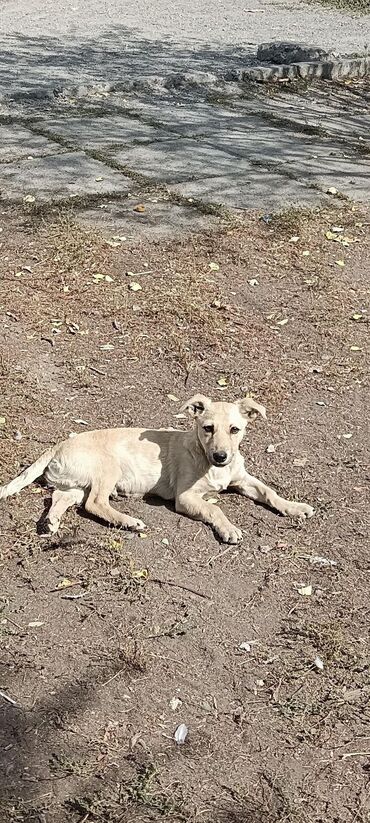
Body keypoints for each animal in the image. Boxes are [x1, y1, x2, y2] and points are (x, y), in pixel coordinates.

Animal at [0, 396, 314, 544]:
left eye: (235, 430)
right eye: (207, 428)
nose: (221, 456)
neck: (207, 462)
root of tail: (59, 444)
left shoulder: (243, 479)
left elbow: (269, 492)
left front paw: (295, 507)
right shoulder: (185, 497)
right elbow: (214, 508)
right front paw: (228, 529)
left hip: (77, 484)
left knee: (59, 498)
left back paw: (51, 522)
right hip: (108, 469)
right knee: (95, 503)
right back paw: (128, 521)